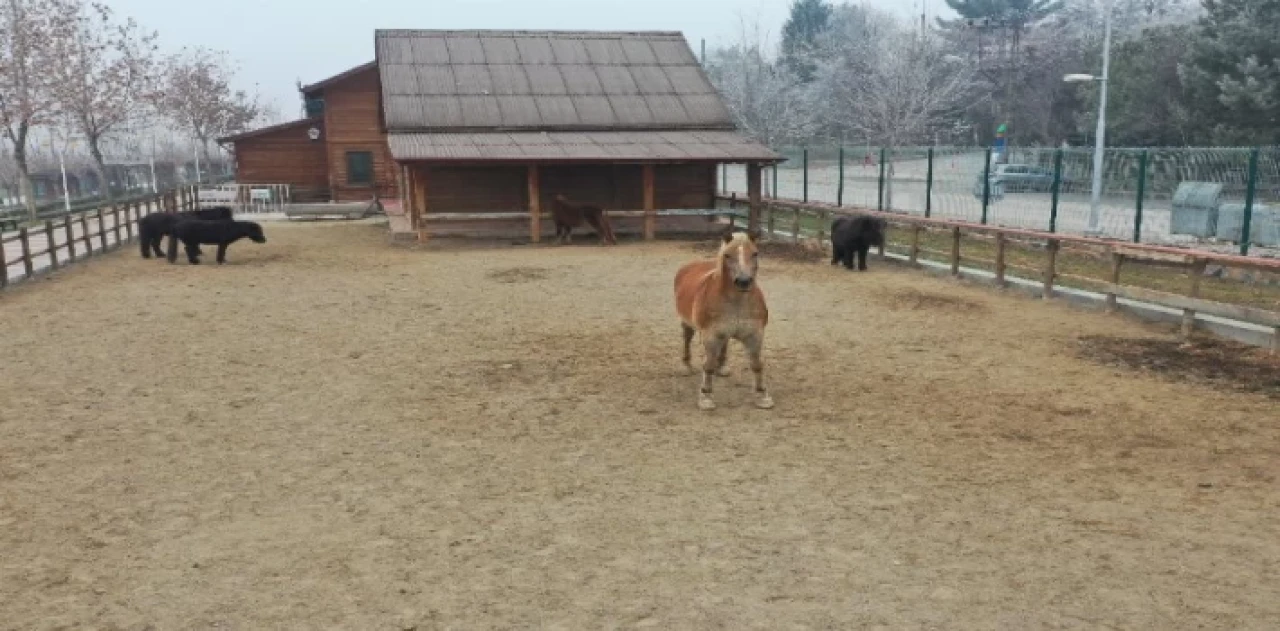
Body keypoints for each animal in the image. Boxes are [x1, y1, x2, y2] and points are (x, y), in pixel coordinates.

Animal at [675, 229, 773, 409]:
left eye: (755, 253)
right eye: (727, 255)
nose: (743, 281)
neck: (737, 302)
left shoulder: (754, 335)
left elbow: (757, 364)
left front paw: (763, 396)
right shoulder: (711, 336)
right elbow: (708, 366)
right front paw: (706, 397)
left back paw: (721, 367)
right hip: (687, 323)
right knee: (687, 338)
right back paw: (686, 366)